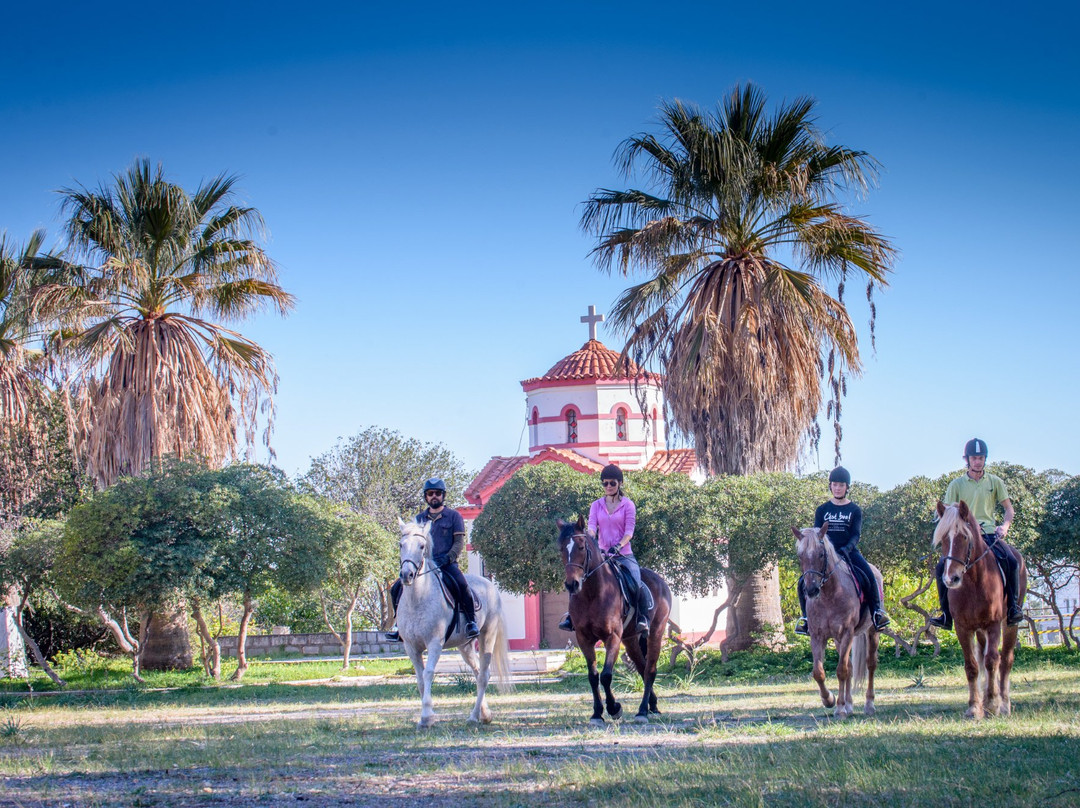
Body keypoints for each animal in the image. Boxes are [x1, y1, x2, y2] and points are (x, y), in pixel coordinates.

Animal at [397, 520, 514, 730]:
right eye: (401, 545)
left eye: (421, 546)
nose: (407, 575)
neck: (417, 600)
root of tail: (490, 584)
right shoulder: (410, 647)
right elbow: (419, 679)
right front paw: (425, 716)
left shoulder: (434, 643)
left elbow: (428, 674)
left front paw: (427, 717)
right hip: (464, 646)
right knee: (477, 672)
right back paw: (484, 714)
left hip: (487, 637)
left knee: (483, 676)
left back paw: (474, 716)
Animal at [561, 518, 669, 725]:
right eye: (561, 548)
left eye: (581, 546)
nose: (572, 585)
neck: (592, 593)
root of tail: (660, 580)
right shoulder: (583, 639)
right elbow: (593, 676)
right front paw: (597, 714)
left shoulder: (612, 637)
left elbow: (606, 675)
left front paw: (614, 708)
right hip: (630, 639)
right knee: (642, 668)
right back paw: (652, 705)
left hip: (656, 634)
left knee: (649, 670)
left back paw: (642, 711)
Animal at [790, 527, 881, 717]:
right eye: (800, 555)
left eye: (821, 554)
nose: (811, 590)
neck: (829, 595)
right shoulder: (817, 636)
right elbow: (819, 672)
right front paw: (829, 700)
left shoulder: (847, 633)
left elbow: (841, 671)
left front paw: (839, 708)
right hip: (839, 640)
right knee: (851, 666)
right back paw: (849, 705)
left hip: (872, 632)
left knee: (870, 664)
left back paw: (869, 704)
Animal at [933, 499, 1023, 721]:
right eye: (943, 539)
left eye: (964, 537)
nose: (951, 579)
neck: (974, 581)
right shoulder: (962, 627)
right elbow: (972, 666)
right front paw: (975, 707)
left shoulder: (993, 624)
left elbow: (992, 661)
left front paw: (992, 703)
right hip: (980, 630)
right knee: (983, 657)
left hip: (1009, 624)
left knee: (1005, 660)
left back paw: (1004, 704)